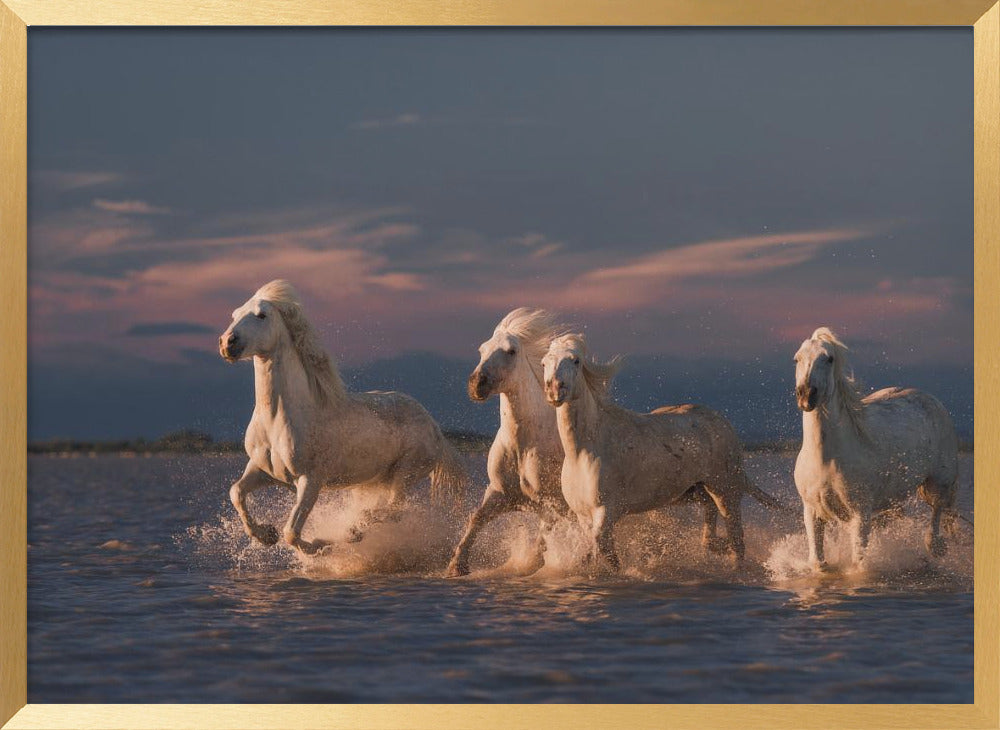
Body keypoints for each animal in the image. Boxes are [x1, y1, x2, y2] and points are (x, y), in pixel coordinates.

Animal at [217, 278, 466, 552]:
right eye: (234, 314)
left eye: (261, 315)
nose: (227, 343)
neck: (278, 419)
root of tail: (435, 428)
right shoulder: (263, 470)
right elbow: (236, 492)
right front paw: (265, 535)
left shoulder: (310, 479)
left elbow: (292, 532)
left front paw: (319, 545)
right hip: (378, 480)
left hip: (406, 472)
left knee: (395, 508)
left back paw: (355, 530)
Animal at [448, 308, 572, 576]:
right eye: (482, 349)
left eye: (511, 351)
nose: (477, 383)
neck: (522, 446)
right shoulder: (500, 493)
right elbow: (476, 519)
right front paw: (456, 566)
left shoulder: (555, 501)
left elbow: (545, 533)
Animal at [544, 332, 784, 564]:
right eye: (545, 362)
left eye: (575, 361)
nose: (554, 389)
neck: (584, 451)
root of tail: (723, 423)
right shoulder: (583, 516)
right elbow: (606, 555)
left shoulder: (607, 511)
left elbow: (599, 550)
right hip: (694, 492)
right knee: (711, 515)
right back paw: (714, 545)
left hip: (726, 491)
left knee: (737, 541)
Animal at [788, 326, 960, 568]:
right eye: (797, 359)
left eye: (829, 359)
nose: (806, 395)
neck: (827, 458)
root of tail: (932, 400)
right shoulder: (812, 512)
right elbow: (817, 562)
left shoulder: (860, 514)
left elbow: (858, 563)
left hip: (939, 482)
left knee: (937, 510)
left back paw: (934, 547)